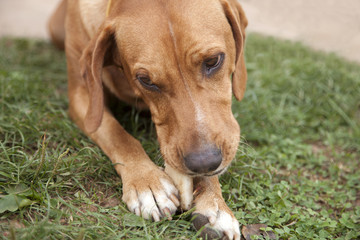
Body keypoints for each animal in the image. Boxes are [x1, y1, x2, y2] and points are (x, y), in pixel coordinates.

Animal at [48, 0, 248, 238]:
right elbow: (118, 135)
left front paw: (214, 204)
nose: (204, 162)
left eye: (213, 60)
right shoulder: (84, 98)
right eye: (146, 80)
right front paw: (147, 182)